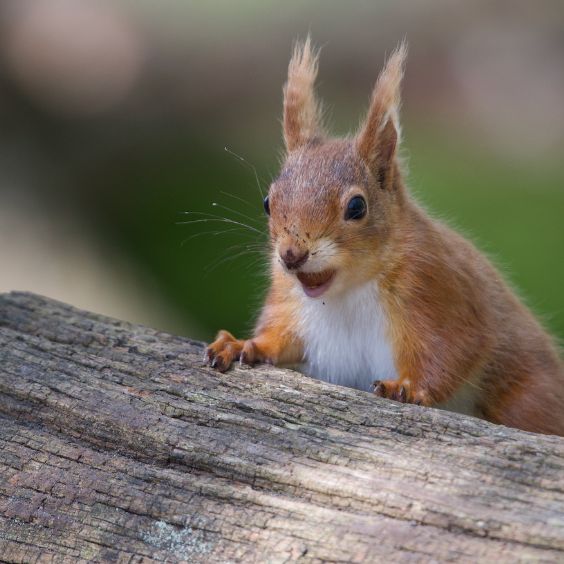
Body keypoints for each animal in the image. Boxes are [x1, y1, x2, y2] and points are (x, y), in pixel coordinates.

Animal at [206, 38, 564, 436]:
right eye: (268, 202)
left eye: (357, 206)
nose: (291, 255)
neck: (346, 291)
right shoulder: (289, 301)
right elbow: (278, 338)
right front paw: (242, 345)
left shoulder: (436, 287)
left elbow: (453, 348)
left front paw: (408, 388)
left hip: (524, 397)